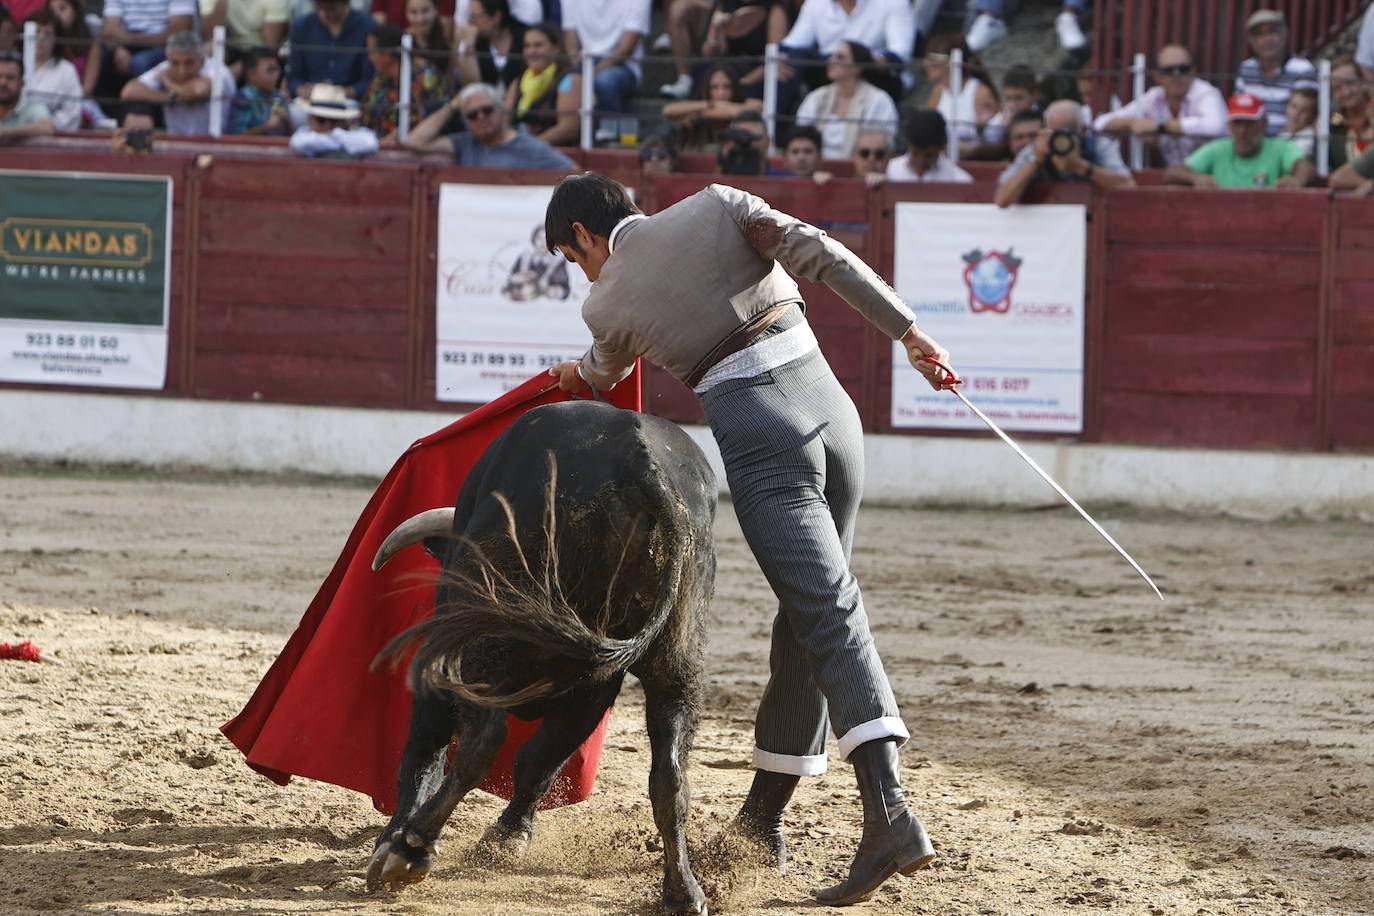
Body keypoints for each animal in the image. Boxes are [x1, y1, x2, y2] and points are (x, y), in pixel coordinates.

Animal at [365, 403, 714, 916]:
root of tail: (639, 459)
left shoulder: (442, 668)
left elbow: (423, 755)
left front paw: (395, 841)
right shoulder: (593, 691)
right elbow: (539, 762)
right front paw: (507, 839)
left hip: (480, 644)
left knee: (481, 742)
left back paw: (410, 850)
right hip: (677, 653)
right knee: (670, 775)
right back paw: (684, 890)